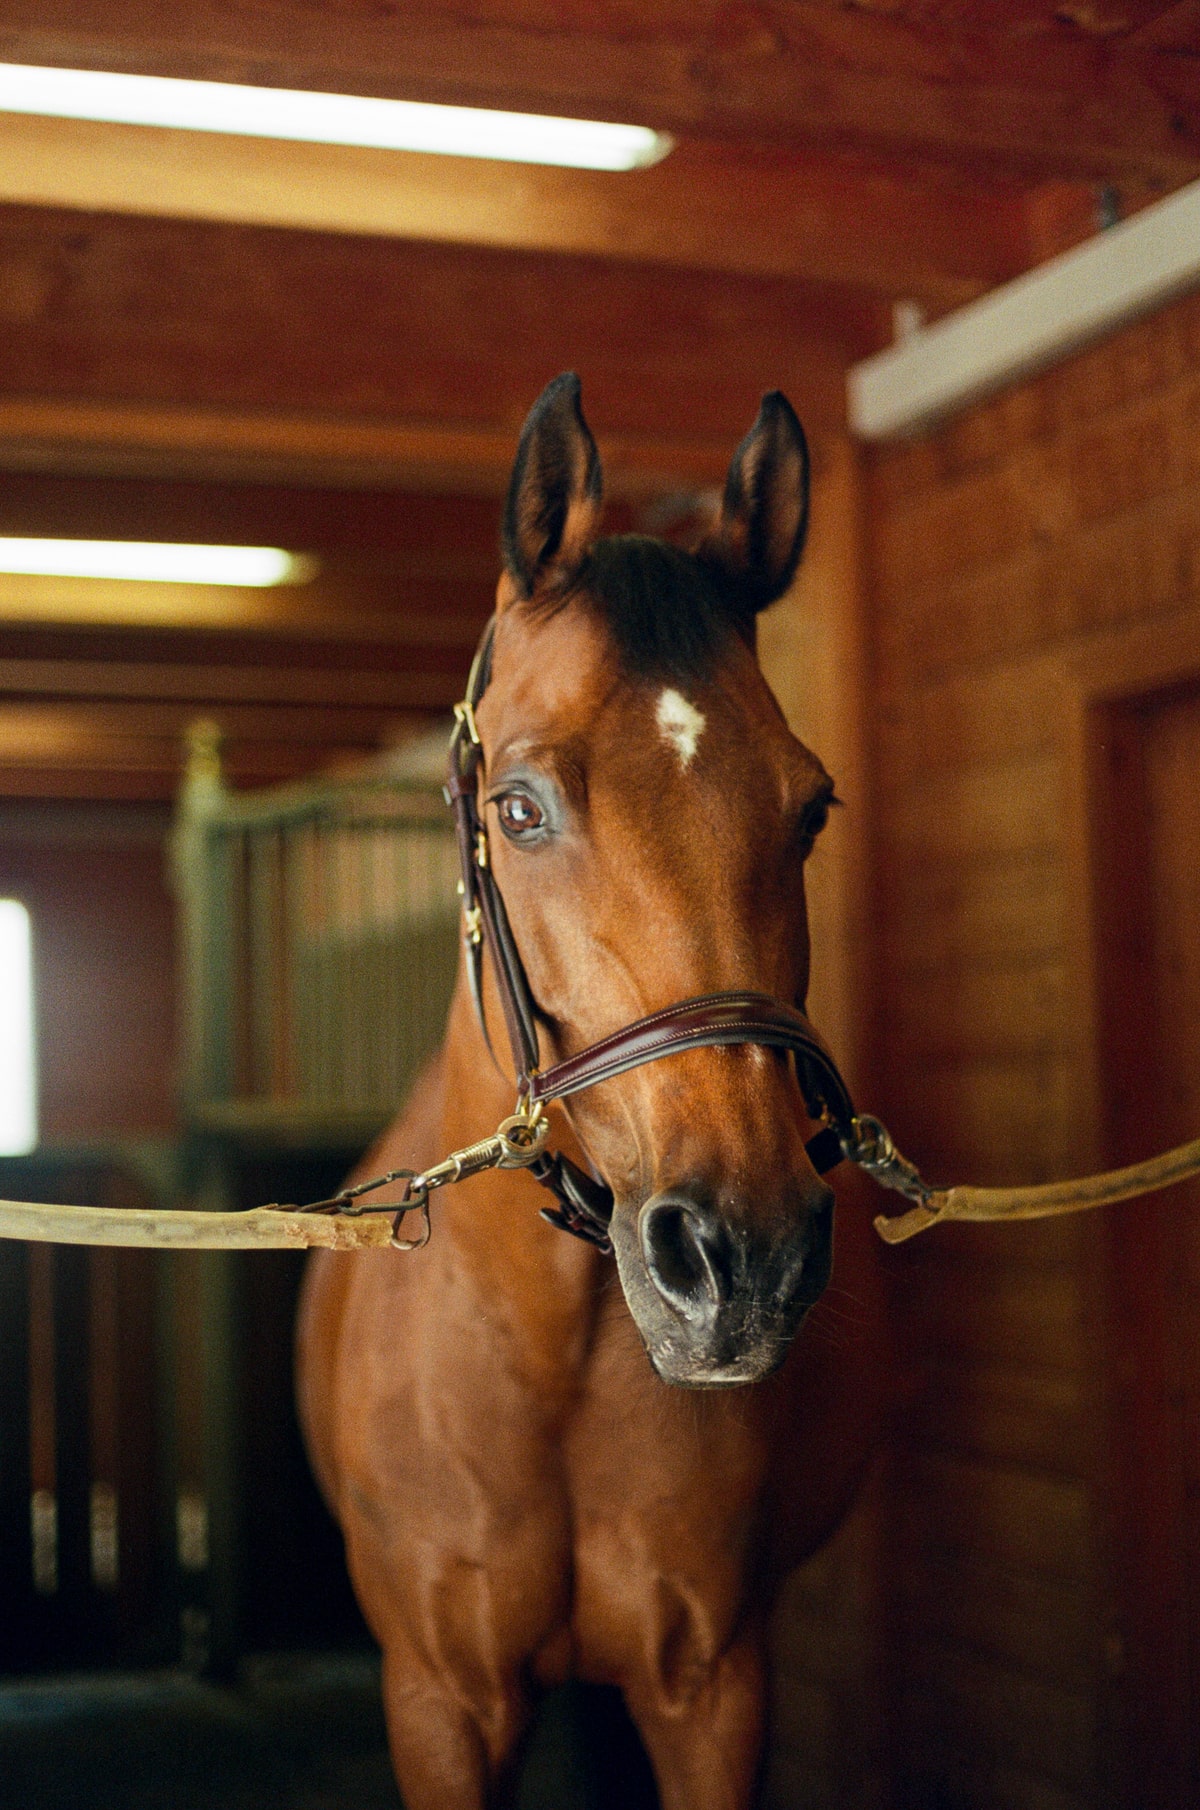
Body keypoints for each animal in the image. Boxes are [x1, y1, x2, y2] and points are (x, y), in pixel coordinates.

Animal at [296, 374, 882, 1809]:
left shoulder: (712, 1687)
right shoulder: (440, 1700)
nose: (743, 1255)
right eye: (518, 807)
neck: (542, 1349)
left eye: (812, 808)